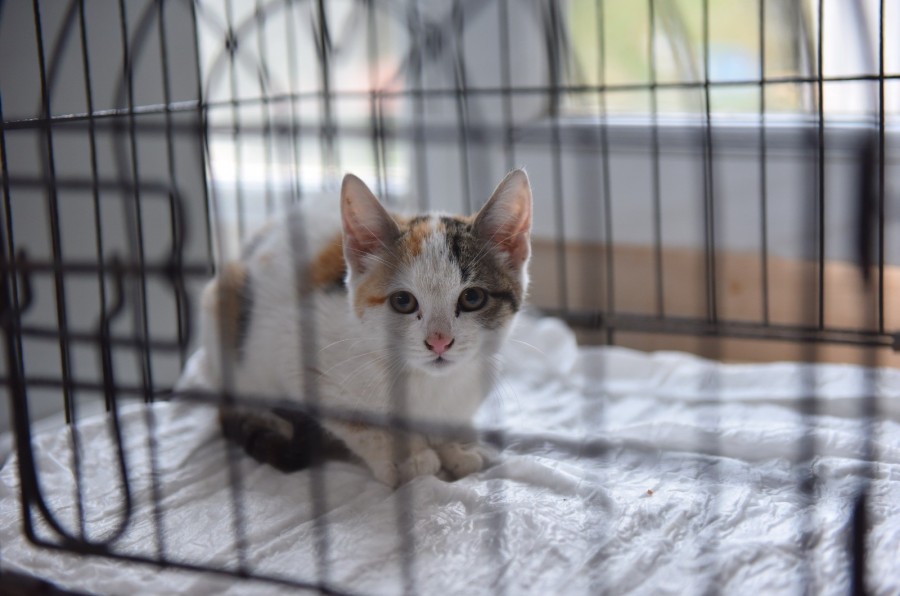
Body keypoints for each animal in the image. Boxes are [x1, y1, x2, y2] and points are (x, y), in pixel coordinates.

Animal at [197, 169, 532, 487]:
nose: (439, 342)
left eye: (472, 298)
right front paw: (408, 457)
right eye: (403, 301)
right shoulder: (296, 355)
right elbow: (359, 423)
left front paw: (457, 449)